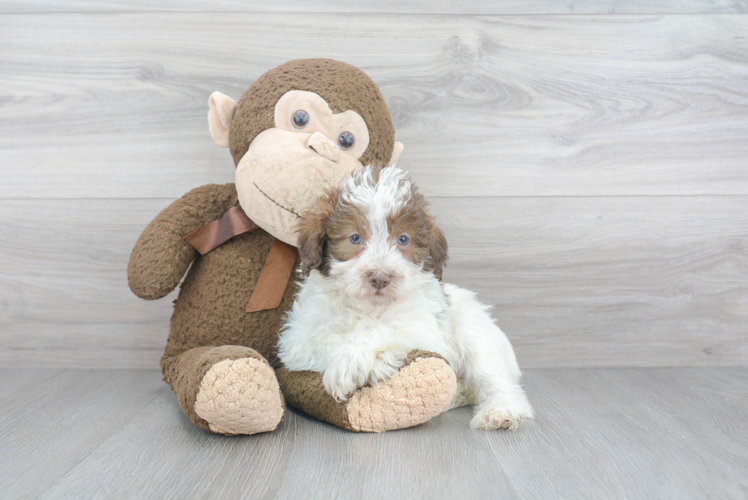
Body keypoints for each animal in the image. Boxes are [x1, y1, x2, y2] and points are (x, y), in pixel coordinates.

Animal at [280, 166, 532, 428]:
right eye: (355, 238)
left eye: (403, 239)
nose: (380, 278)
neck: (368, 306)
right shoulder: (296, 343)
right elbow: (325, 338)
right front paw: (366, 362)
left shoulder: (426, 331)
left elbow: (380, 328)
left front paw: (355, 360)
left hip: (474, 330)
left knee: (495, 379)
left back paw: (501, 410)